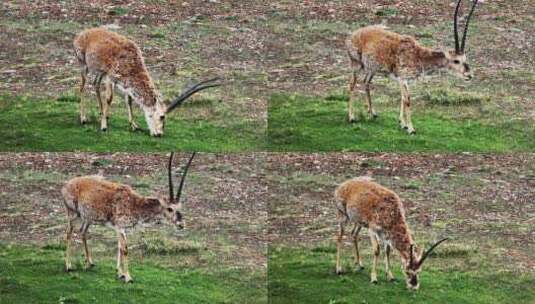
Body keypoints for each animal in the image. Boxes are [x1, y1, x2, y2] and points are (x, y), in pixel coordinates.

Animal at [62, 152, 197, 282]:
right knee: (69, 233)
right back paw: (68, 266)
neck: (134, 203)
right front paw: (128, 277)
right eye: (170, 208)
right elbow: (124, 249)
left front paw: (120, 273)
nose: (181, 224)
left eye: (180, 207)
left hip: (87, 218)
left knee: (82, 232)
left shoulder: (122, 229)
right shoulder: (120, 227)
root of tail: (66, 185)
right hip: (73, 213)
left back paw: (90, 263)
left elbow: (119, 247)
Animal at [73, 27, 220, 137]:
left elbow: (129, 100)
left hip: (99, 72)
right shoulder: (110, 77)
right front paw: (104, 127)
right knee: (82, 87)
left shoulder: (123, 82)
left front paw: (134, 125)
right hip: (83, 65)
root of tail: (81, 35)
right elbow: (109, 99)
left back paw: (102, 114)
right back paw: (83, 118)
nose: (159, 134)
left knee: (95, 84)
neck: (131, 60)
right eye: (162, 116)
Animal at [350, 0, 480, 134]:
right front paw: (411, 129)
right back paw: (352, 117)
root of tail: (354, 34)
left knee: (366, 82)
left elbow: (403, 98)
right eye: (456, 61)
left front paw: (403, 124)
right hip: (356, 64)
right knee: (352, 84)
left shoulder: (406, 81)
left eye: (465, 59)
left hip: (372, 69)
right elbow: (407, 100)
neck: (417, 55)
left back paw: (372, 113)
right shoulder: (403, 79)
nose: (469, 75)